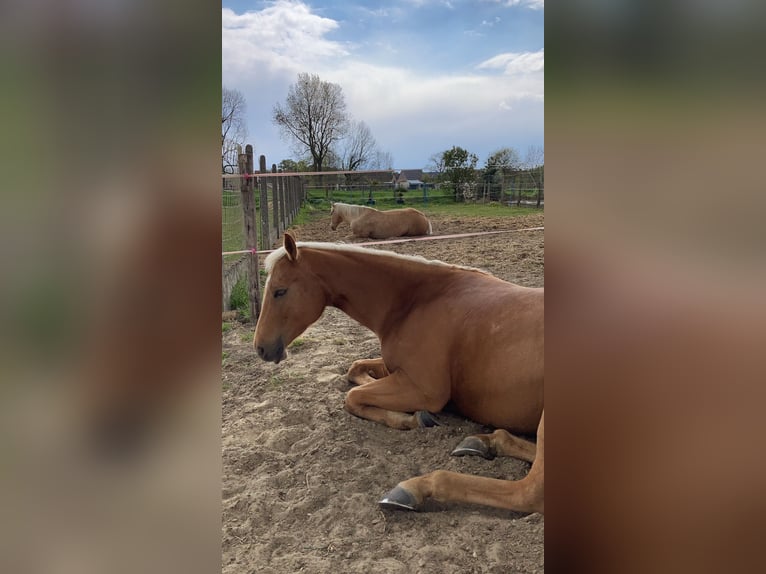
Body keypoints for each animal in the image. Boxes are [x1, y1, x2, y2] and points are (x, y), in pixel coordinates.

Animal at [253, 232, 544, 514]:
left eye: (280, 291)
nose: (260, 348)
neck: (416, 301)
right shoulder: (396, 369)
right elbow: (355, 370)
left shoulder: (424, 391)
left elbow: (353, 396)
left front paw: (412, 419)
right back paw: (483, 442)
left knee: (529, 493)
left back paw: (412, 489)